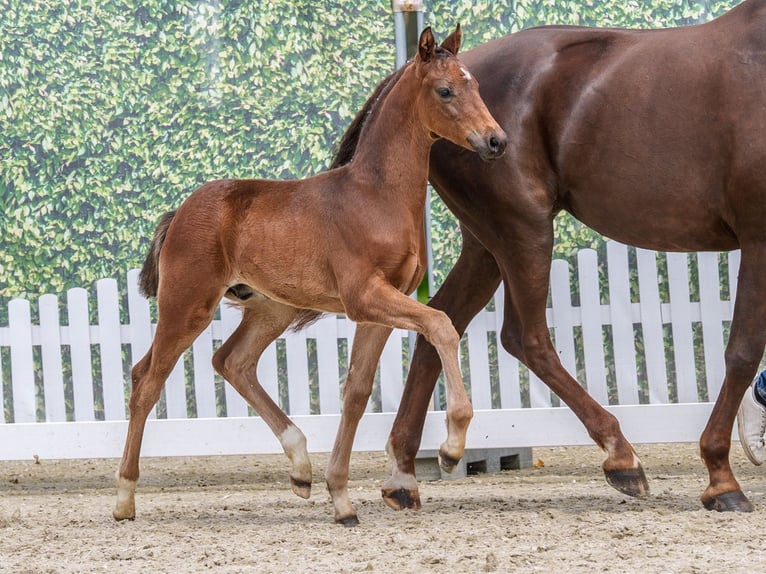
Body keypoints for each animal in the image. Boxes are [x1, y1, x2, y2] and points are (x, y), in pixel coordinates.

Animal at [112, 25, 507, 526]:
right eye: (445, 90)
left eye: (475, 86)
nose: (496, 141)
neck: (376, 195)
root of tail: (180, 211)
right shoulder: (364, 297)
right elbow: (441, 325)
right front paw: (452, 449)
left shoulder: (378, 309)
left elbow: (356, 392)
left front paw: (341, 500)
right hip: (187, 306)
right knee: (146, 379)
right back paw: (124, 498)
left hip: (272, 310)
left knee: (232, 362)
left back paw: (300, 468)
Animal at [331, 0, 766, 514]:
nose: (493, 139)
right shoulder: (758, 236)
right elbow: (742, 351)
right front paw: (721, 478)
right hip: (522, 229)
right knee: (526, 337)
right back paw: (621, 457)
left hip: (486, 245)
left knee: (439, 320)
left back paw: (405, 473)